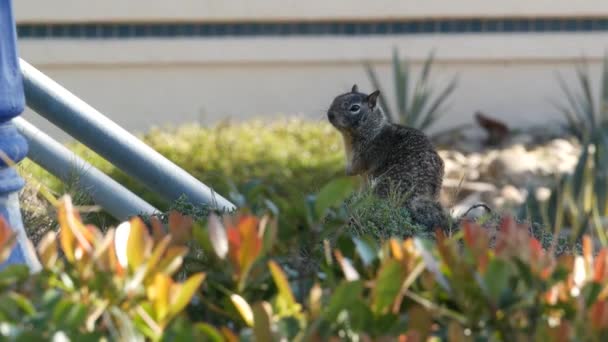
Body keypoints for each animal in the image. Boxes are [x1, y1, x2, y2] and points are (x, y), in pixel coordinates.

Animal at [326, 84, 448, 231]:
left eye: (354, 108)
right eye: (336, 98)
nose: (330, 114)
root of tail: (423, 195)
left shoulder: (367, 155)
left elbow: (357, 167)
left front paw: (348, 172)